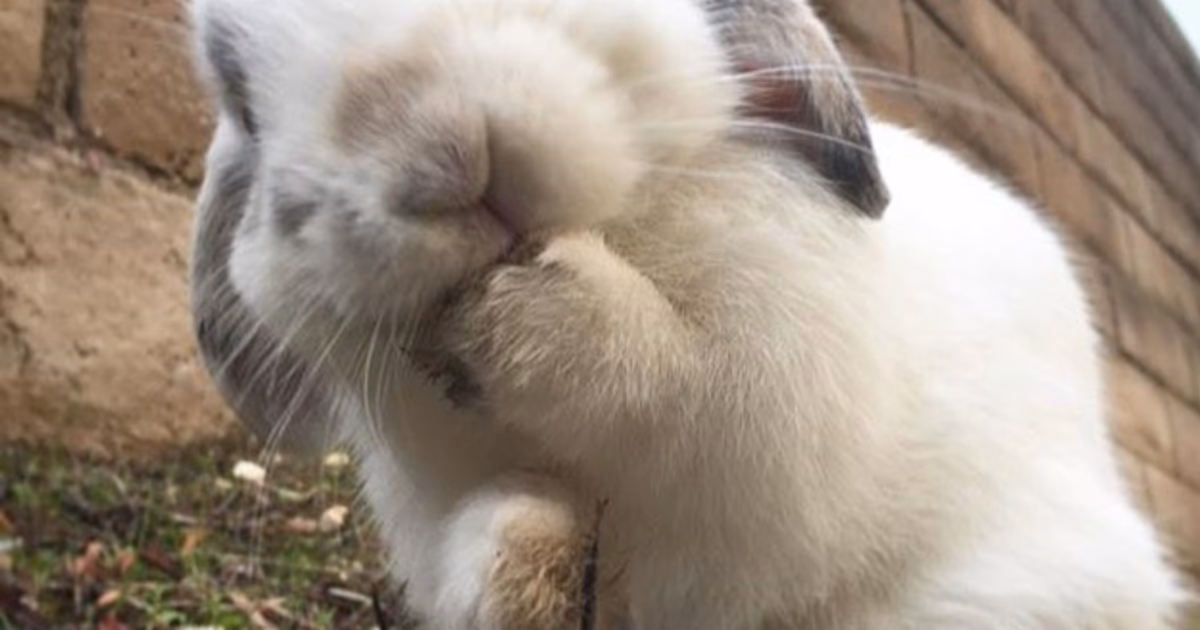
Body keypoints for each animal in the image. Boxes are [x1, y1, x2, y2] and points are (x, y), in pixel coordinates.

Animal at [186, 0, 1186, 628]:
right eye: (236, 88)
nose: (429, 147)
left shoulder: (772, 394)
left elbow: (668, 379)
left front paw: (516, 315)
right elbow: (495, 539)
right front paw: (529, 559)